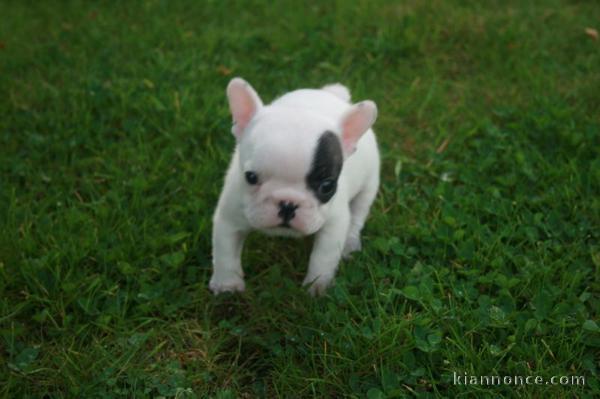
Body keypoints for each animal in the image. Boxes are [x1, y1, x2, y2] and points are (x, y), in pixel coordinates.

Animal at [210, 78, 380, 296]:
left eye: (327, 186)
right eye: (251, 177)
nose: (288, 203)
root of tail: (330, 93)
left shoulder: (334, 224)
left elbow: (323, 257)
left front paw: (317, 286)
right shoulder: (229, 216)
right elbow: (225, 252)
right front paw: (227, 285)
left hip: (369, 185)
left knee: (358, 213)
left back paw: (350, 242)